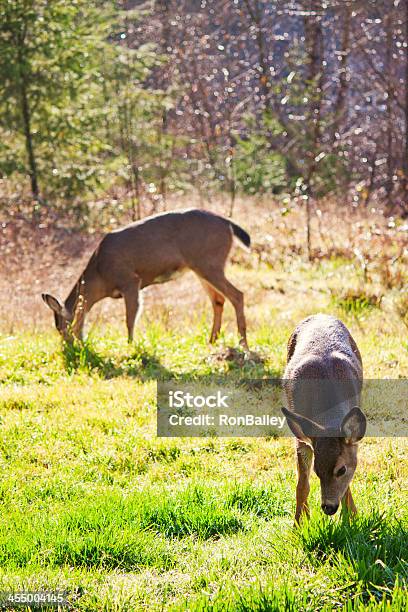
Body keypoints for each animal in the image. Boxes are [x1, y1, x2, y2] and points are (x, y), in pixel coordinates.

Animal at [43, 207, 250, 346]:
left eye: (63, 327)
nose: (69, 348)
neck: (100, 275)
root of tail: (228, 223)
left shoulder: (130, 280)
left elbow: (130, 319)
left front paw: (131, 346)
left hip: (209, 263)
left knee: (237, 295)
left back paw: (243, 345)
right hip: (201, 267)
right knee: (219, 300)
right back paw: (212, 341)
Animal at [282, 316, 364, 520]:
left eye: (341, 469)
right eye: (317, 470)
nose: (328, 507)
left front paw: (351, 516)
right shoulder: (302, 436)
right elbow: (302, 484)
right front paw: (299, 522)